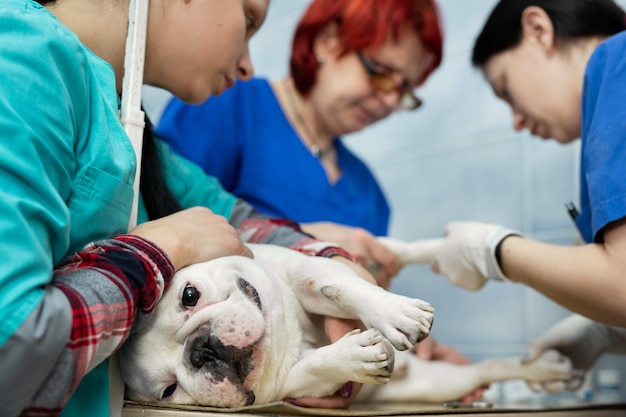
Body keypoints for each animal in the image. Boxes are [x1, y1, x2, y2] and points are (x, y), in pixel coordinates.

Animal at [118, 240, 580, 406]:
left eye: (189, 295)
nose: (201, 349)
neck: (287, 335)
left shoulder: (303, 269)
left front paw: (393, 312)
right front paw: (352, 357)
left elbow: (335, 284)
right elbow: (310, 368)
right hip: (438, 384)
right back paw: (543, 369)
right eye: (170, 391)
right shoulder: (291, 389)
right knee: (483, 370)